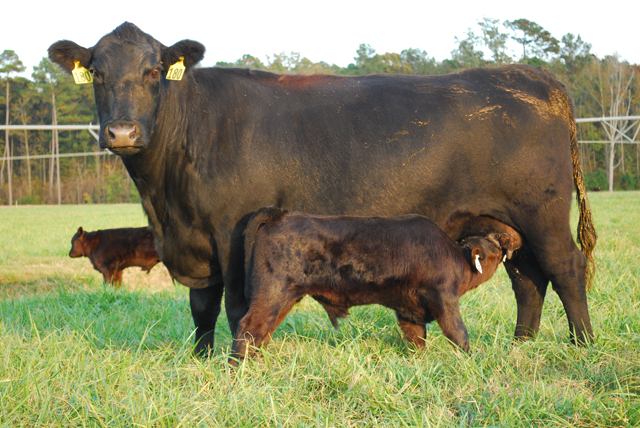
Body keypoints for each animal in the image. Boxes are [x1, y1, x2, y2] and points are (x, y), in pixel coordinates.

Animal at [230, 207, 523, 363]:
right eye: (495, 245)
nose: (514, 237)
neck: (455, 258)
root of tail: (283, 214)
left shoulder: (409, 309)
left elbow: (417, 338)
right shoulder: (445, 300)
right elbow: (459, 334)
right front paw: (472, 361)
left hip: (282, 298)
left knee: (263, 331)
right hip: (273, 292)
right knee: (249, 327)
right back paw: (240, 367)